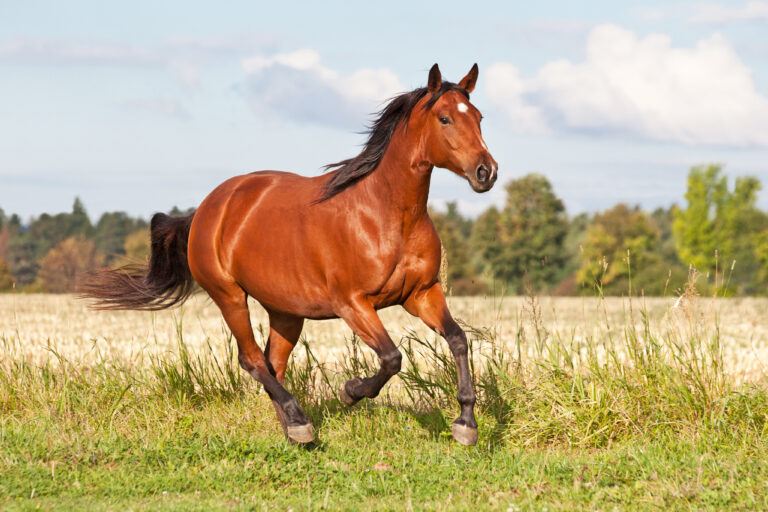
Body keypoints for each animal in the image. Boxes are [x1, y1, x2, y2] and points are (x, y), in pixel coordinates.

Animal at [79, 64, 498, 446]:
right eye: (445, 118)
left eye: (479, 117)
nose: (486, 172)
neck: (388, 215)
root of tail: (206, 209)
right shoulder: (353, 304)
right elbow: (392, 358)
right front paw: (351, 391)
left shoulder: (422, 294)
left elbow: (458, 339)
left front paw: (466, 424)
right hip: (230, 297)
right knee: (251, 360)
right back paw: (299, 421)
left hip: (286, 313)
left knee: (273, 364)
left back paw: (296, 432)